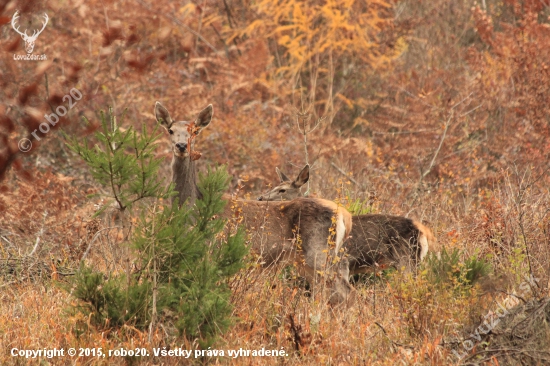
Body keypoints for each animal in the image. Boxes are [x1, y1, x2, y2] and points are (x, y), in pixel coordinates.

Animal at [155, 102, 356, 306]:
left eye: (195, 131)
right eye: (170, 130)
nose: (181, 146)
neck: (193, 208)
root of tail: (345, 216)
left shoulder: (212, 248)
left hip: (319, 252)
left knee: (345, 290)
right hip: (308, 261)